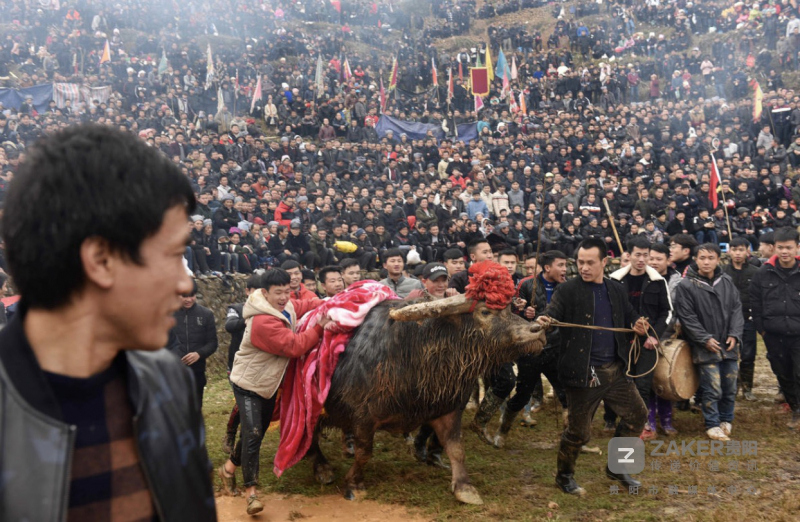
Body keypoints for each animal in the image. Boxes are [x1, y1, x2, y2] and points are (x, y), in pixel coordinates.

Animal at [310, 290, 548, 502]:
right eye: (485, 311)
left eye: (509, 309)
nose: (537, 330)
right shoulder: (363, 418)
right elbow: (364, 453)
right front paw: (354, 485)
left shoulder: (447, 410)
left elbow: (456, 448)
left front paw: (464, 487)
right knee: (311, 441)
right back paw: (323, 469)